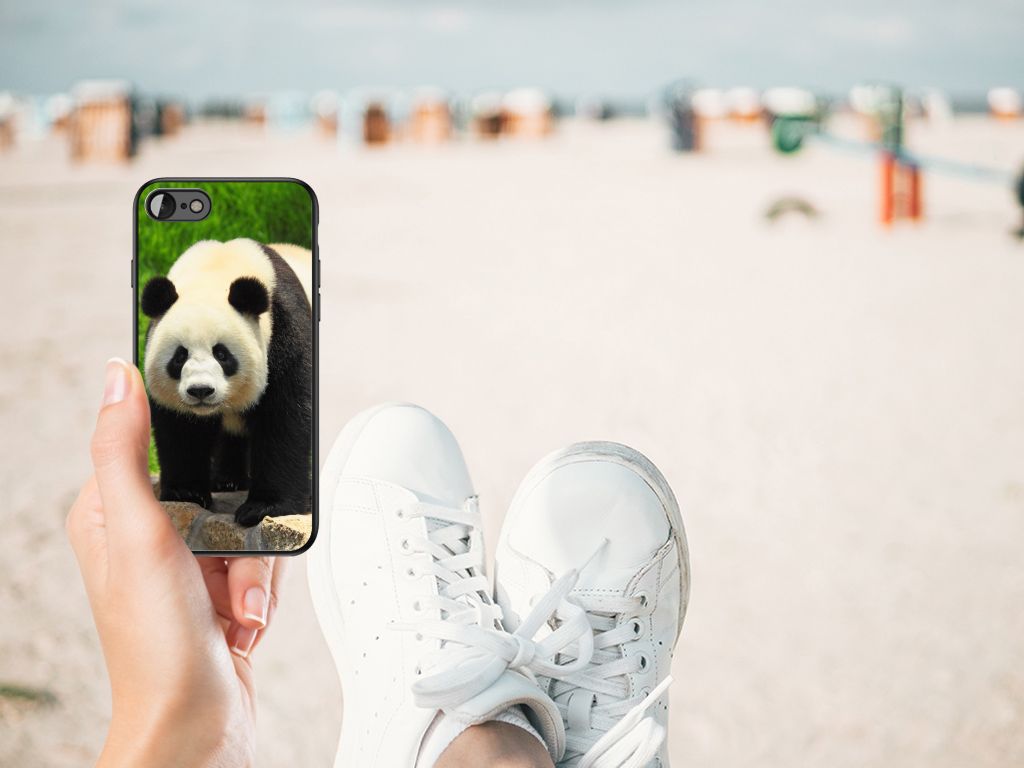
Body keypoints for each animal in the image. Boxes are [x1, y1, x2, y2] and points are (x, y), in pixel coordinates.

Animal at [141, 238, 313, 527]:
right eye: (180, 356)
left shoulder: (286, 331)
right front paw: (186, 492)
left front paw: (263, 507)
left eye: (221, 354)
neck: (216, 269)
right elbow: (181, 428)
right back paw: (227, 480)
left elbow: (286, 418)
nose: (200, 390)